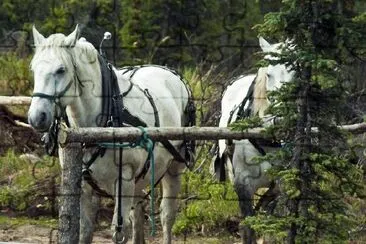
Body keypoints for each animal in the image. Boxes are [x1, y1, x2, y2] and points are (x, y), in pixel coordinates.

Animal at [28, 25, 194, 244]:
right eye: (33, 69)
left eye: (61, 70)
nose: (36, 117)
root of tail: (167, 71)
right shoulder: (83, 184)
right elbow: (85, 231)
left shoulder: (124, 180)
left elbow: (119, 232)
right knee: (138, 215)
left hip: (174, 168)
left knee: (167, 216)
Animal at [214, 37, 294, 243]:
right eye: (269, 75)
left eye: (295, 72)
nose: (281, 117)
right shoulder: (242, 184)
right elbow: (249, 226)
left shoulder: (279, 185)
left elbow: (267, 223)